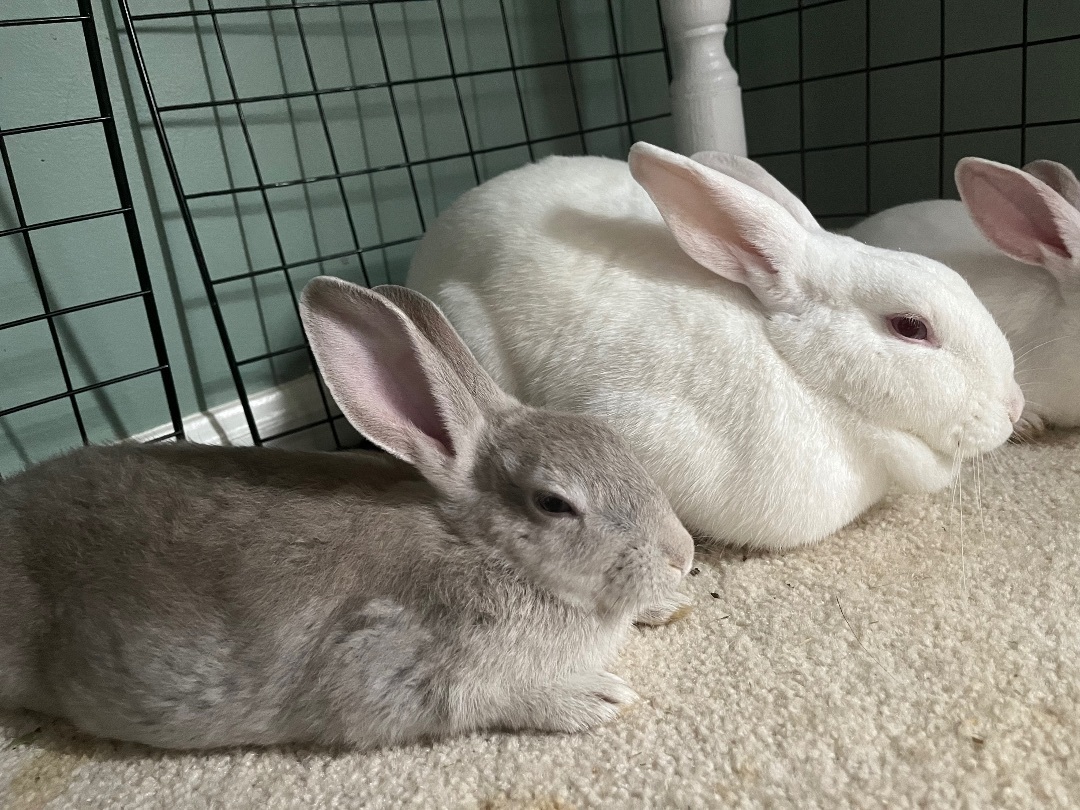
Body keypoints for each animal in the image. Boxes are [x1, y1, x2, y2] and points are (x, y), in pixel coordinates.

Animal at [0, 278, 695, 751]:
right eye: (554, 503)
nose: (684, 555)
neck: (480, 547)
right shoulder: (393, 664)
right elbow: (478, 696)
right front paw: (592, 695)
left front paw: (670, 604)